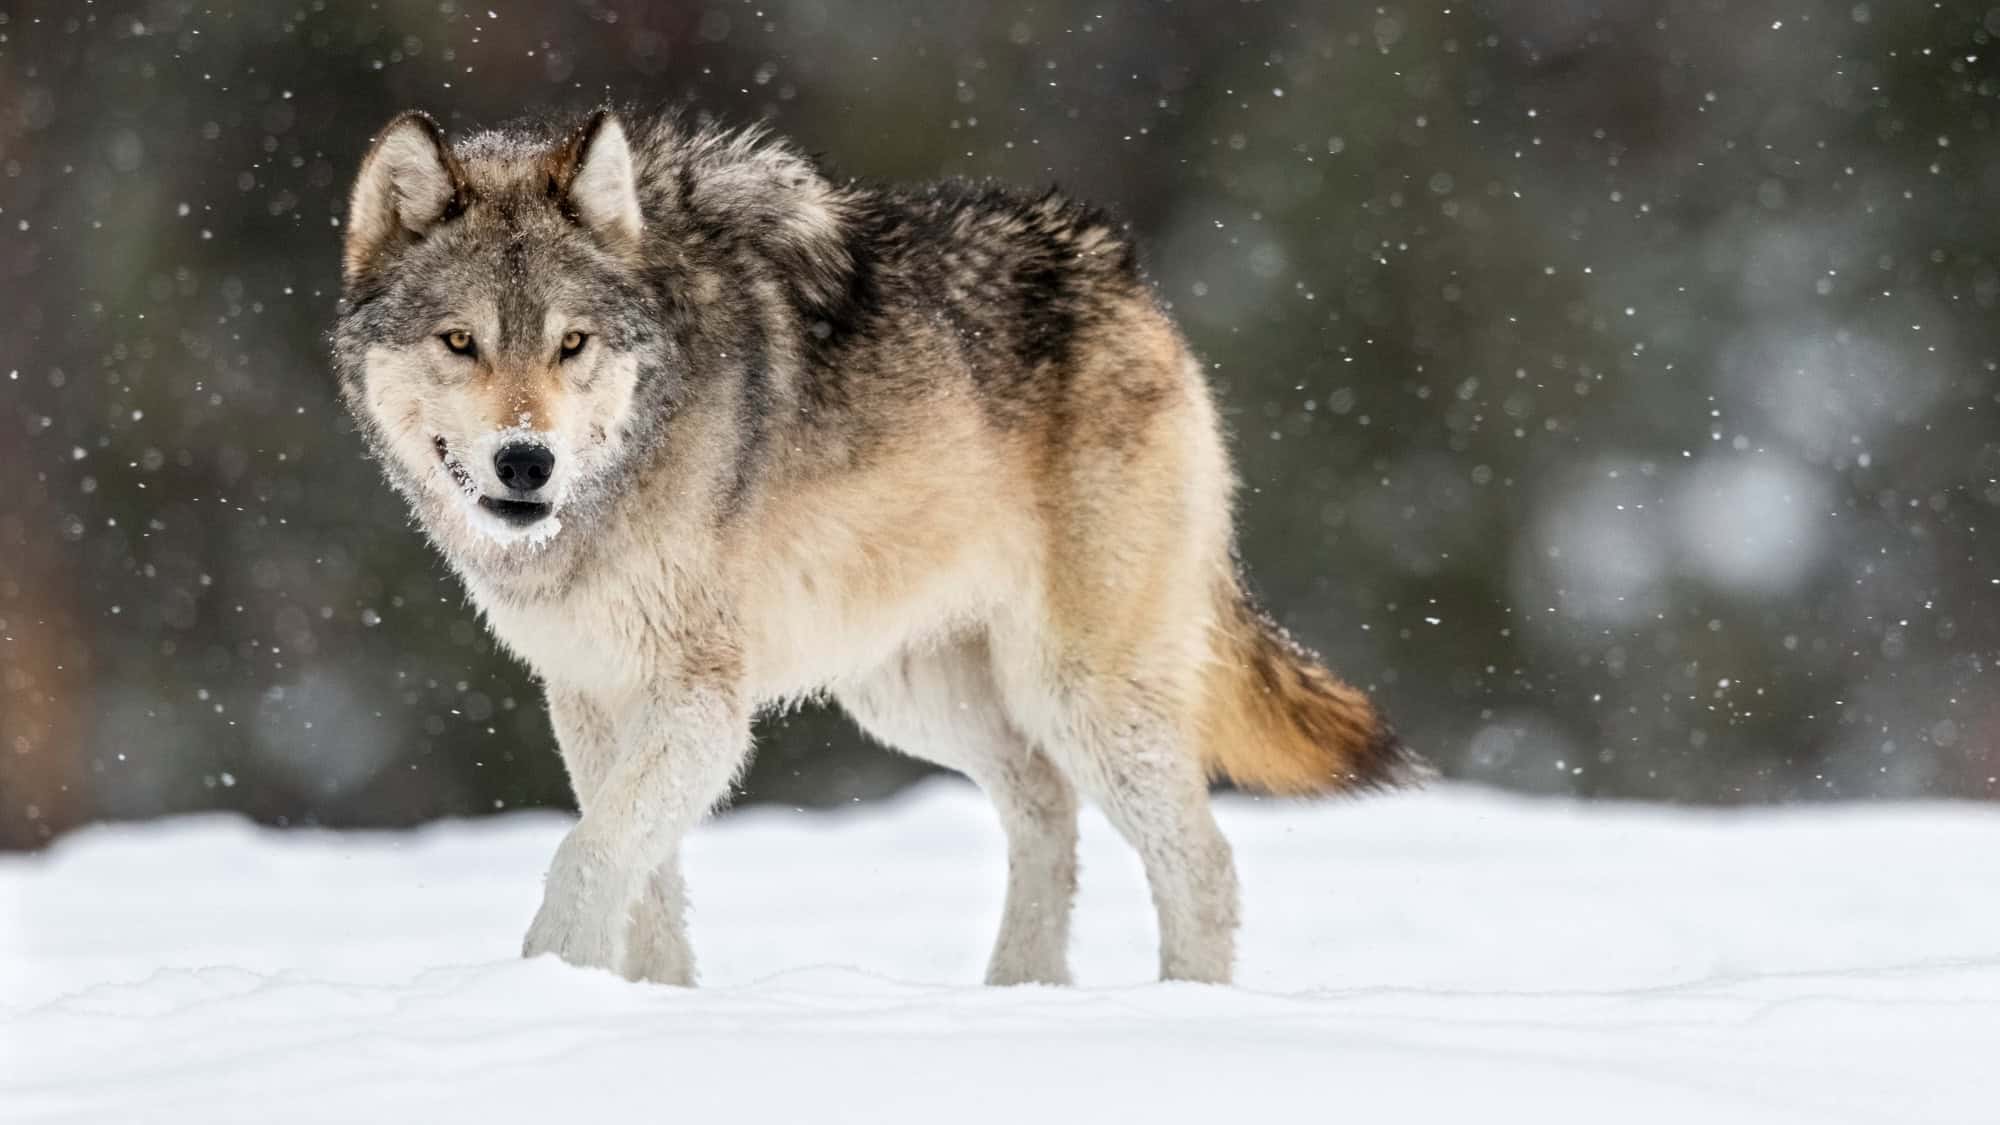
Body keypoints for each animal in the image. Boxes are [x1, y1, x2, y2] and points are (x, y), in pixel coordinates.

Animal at [332, 106, 1423, 986]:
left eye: (571, 344)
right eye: (460, 341)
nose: (527, 462)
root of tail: (1119, 272)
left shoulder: (698, 705)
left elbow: (588, 855)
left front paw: (543, 989)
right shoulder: (593, 697)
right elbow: (645, 879)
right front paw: (650, 1003)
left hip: (1078, 694)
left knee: (1202, 862)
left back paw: (1177, 1014)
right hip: (914, 696)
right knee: (1046, 808)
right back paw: (1017, 997)